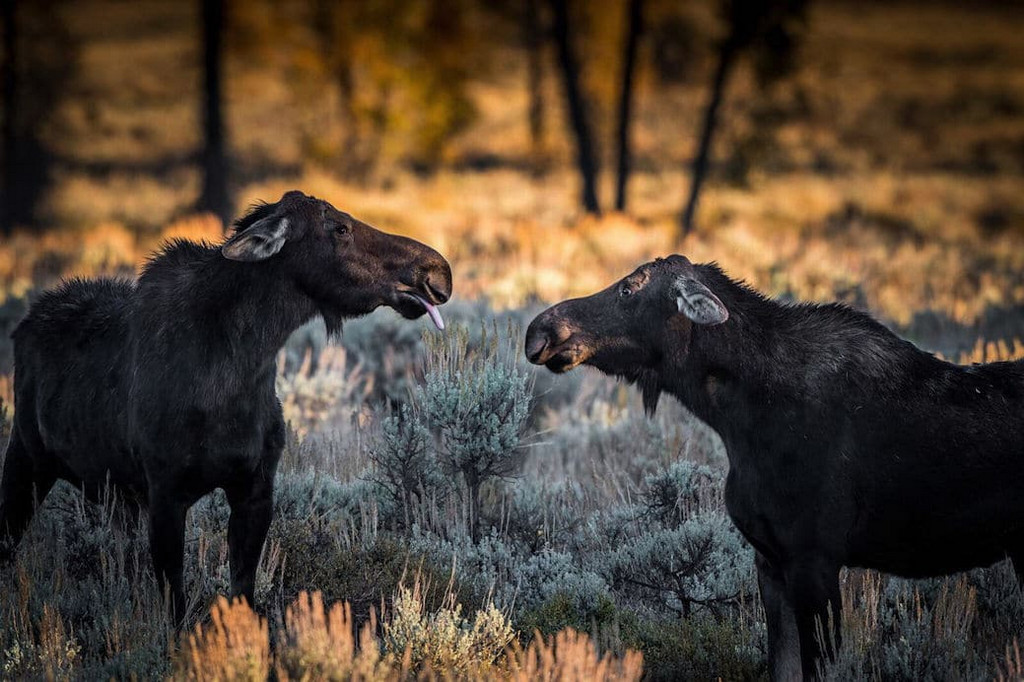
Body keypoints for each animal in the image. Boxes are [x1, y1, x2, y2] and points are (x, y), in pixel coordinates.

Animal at [0, 188, 450, 618]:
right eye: (339, 227)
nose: (437, 271)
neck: (239, 371)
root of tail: (23, 326)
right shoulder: (165, 493)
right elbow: (175, 607)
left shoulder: (255, 487)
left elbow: (242, 593)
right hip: (27, 457)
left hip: (114, 495)